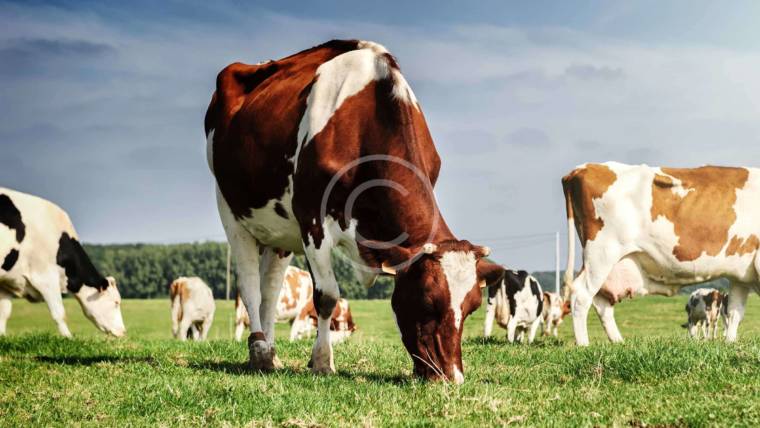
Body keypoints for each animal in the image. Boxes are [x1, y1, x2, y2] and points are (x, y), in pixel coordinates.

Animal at [0, 187, 125, 338]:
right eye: (116, 302)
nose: (124, 331)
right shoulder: (46, 278)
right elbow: (59, 313)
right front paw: (68, 338)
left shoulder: (7, 282)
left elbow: (4, 314)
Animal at [208, 38, 504, 382]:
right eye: (427, 300)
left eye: (472, 306)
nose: (451, 377)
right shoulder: (312, 219)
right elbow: (326, 296)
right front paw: (322, 361)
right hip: (230, 209)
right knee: (250, 286)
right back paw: (258, 351)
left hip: (279, 230)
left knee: (270, 289)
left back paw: (271, 353)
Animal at [560, 162, 760, 346]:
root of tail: (583, 168)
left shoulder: (741, 276)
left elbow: (734, 313)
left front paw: (730, 344)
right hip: (601, 253)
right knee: (581, 295)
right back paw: (584, 346)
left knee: (602, 303)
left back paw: (619, 344)